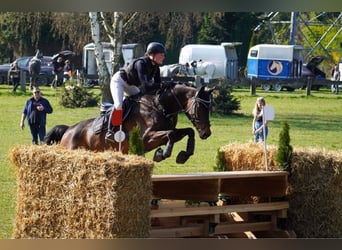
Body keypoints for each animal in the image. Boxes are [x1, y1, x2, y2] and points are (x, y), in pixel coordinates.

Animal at [58, 83, 214, 163]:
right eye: (200, 107)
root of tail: (68, 130)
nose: (206, 133)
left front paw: (183, 155)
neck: (161, 106)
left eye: (209, 106)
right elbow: (170, 134)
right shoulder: (146, 139)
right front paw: (162, 153)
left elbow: (187, 131)